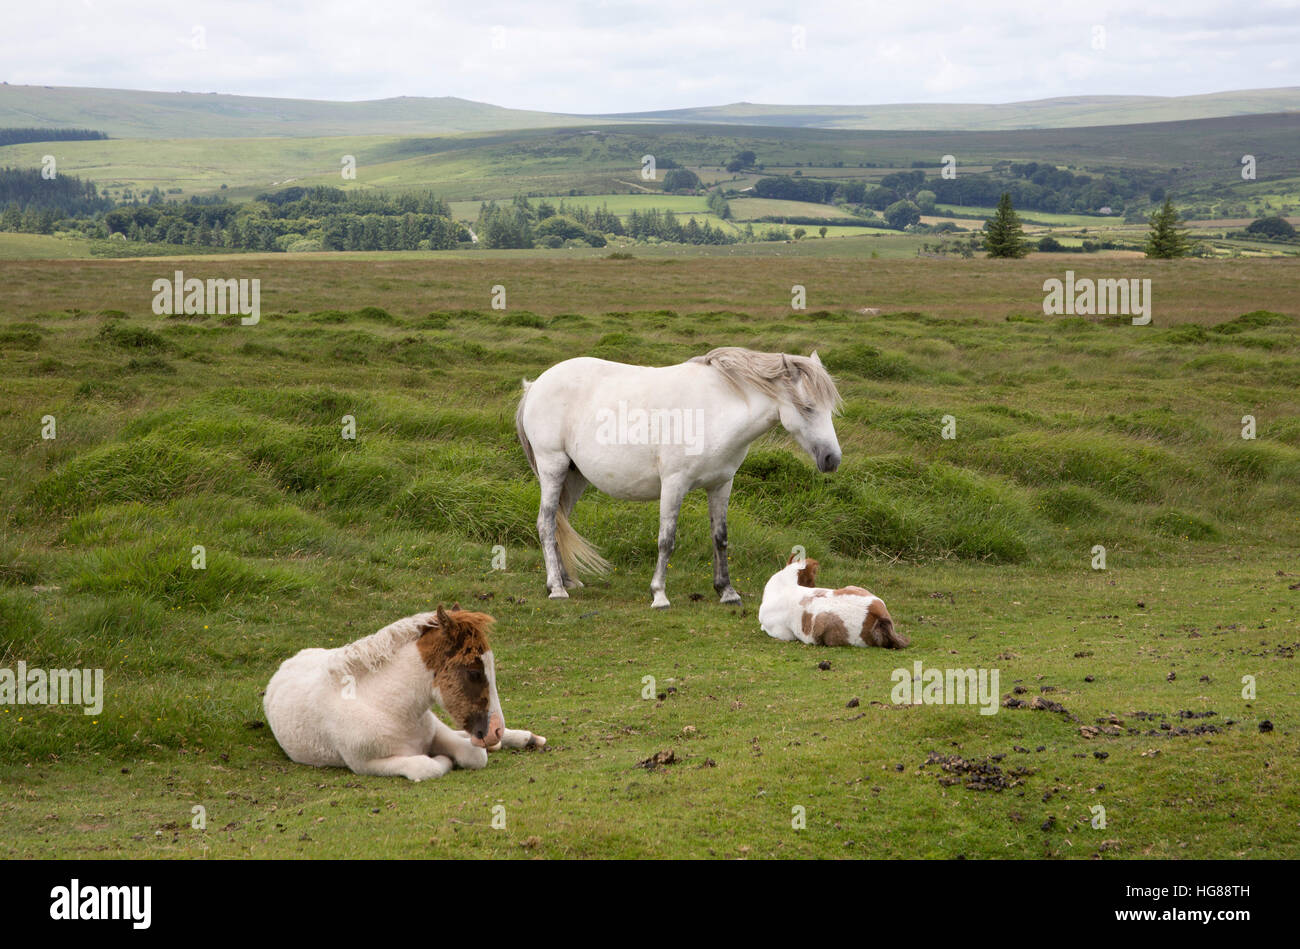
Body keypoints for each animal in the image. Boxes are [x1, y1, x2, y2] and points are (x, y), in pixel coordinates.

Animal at [263, 605, 545, 781]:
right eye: (474, 672)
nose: (495, 729)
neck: (386, 707)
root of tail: (288, 662)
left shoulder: (436, 731)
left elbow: (474, 754)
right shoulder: (364, 764)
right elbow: (427, 765)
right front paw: (441, 758)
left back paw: (526, 738)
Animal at [516, 346, 843, 608]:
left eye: (829, 408)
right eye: (807, 408)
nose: (832, 459)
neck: (714, 410)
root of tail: (536, 385)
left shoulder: (721, 484)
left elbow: (720, 537)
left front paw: (727, 592)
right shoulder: (674, 484)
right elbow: (666, 539)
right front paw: (659, 594)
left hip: (574, 477)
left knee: (561, 522)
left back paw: (566, 580)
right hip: (553, 467)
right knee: (546, 523)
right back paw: (557, 589)